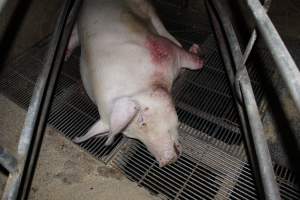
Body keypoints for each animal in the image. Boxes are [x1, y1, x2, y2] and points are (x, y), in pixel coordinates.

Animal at [67, 0, 204, 167]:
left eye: (142, 121)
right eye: (130, 135)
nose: (165, 161)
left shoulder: (163, 49)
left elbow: (192, 62)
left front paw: (196, 54)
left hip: (145, 8)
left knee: (161, 28)